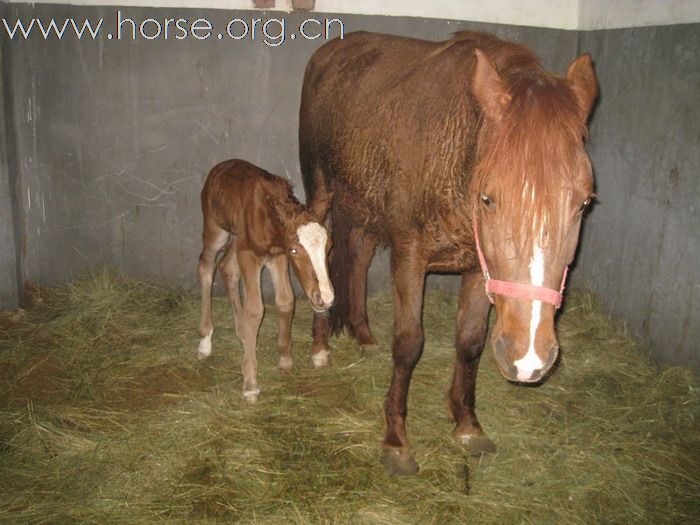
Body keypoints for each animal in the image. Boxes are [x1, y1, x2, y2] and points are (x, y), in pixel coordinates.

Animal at [298, 31, 600, 474]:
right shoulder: (409, 257)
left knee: (357, 259)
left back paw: (363, 334)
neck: (454, 156)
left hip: (364, 206)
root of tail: (331, 50)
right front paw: (396, 439)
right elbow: (409, 343)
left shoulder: (478, 268)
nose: (528, 357)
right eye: (488, 198)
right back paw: (320, 347)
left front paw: (467, 424)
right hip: (322, 190)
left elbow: (470, 341)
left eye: (583, 203)